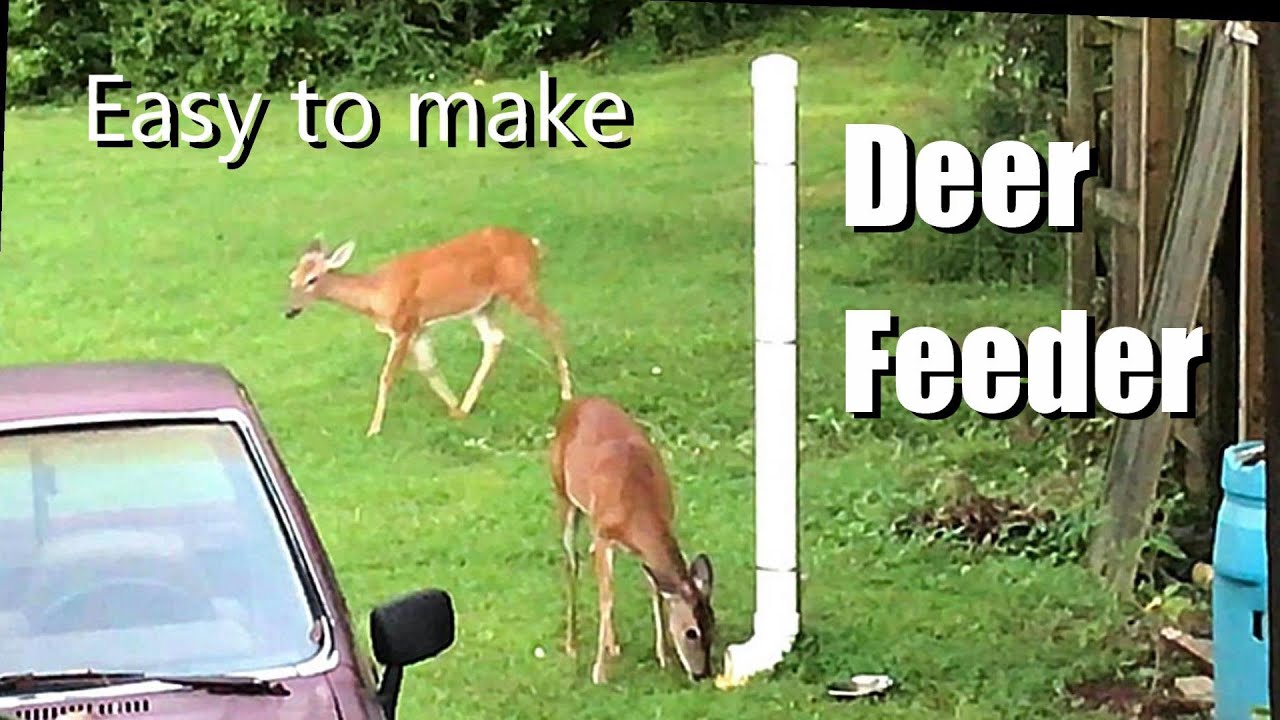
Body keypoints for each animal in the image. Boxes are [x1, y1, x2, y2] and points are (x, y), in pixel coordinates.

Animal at [283, 226, 573, 436]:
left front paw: (373, 429)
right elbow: (429, 369)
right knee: (495, 340)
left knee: (553, 323)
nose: (289, 311)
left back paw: (566, 392)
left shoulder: (404, 325)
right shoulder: (420, 329)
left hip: (521, 288)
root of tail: (533, 244)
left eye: (313, 279)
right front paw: (455, 411)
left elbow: (387, 376)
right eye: (292, 277)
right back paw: (466, 405)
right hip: (483, 305)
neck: (375, 294)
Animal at [549, 395, 716, 685]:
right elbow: (606, 599)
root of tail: (576, 402)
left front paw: (664, 657)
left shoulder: (642, 546)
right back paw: (572, 644)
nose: (702, 674)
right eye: (691, 632)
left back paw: (612, 644)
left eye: (713, 625)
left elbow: (655, 591)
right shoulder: (603, 533)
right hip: (563, 495)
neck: (637, 502)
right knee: (572, 564)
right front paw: (599, 673)